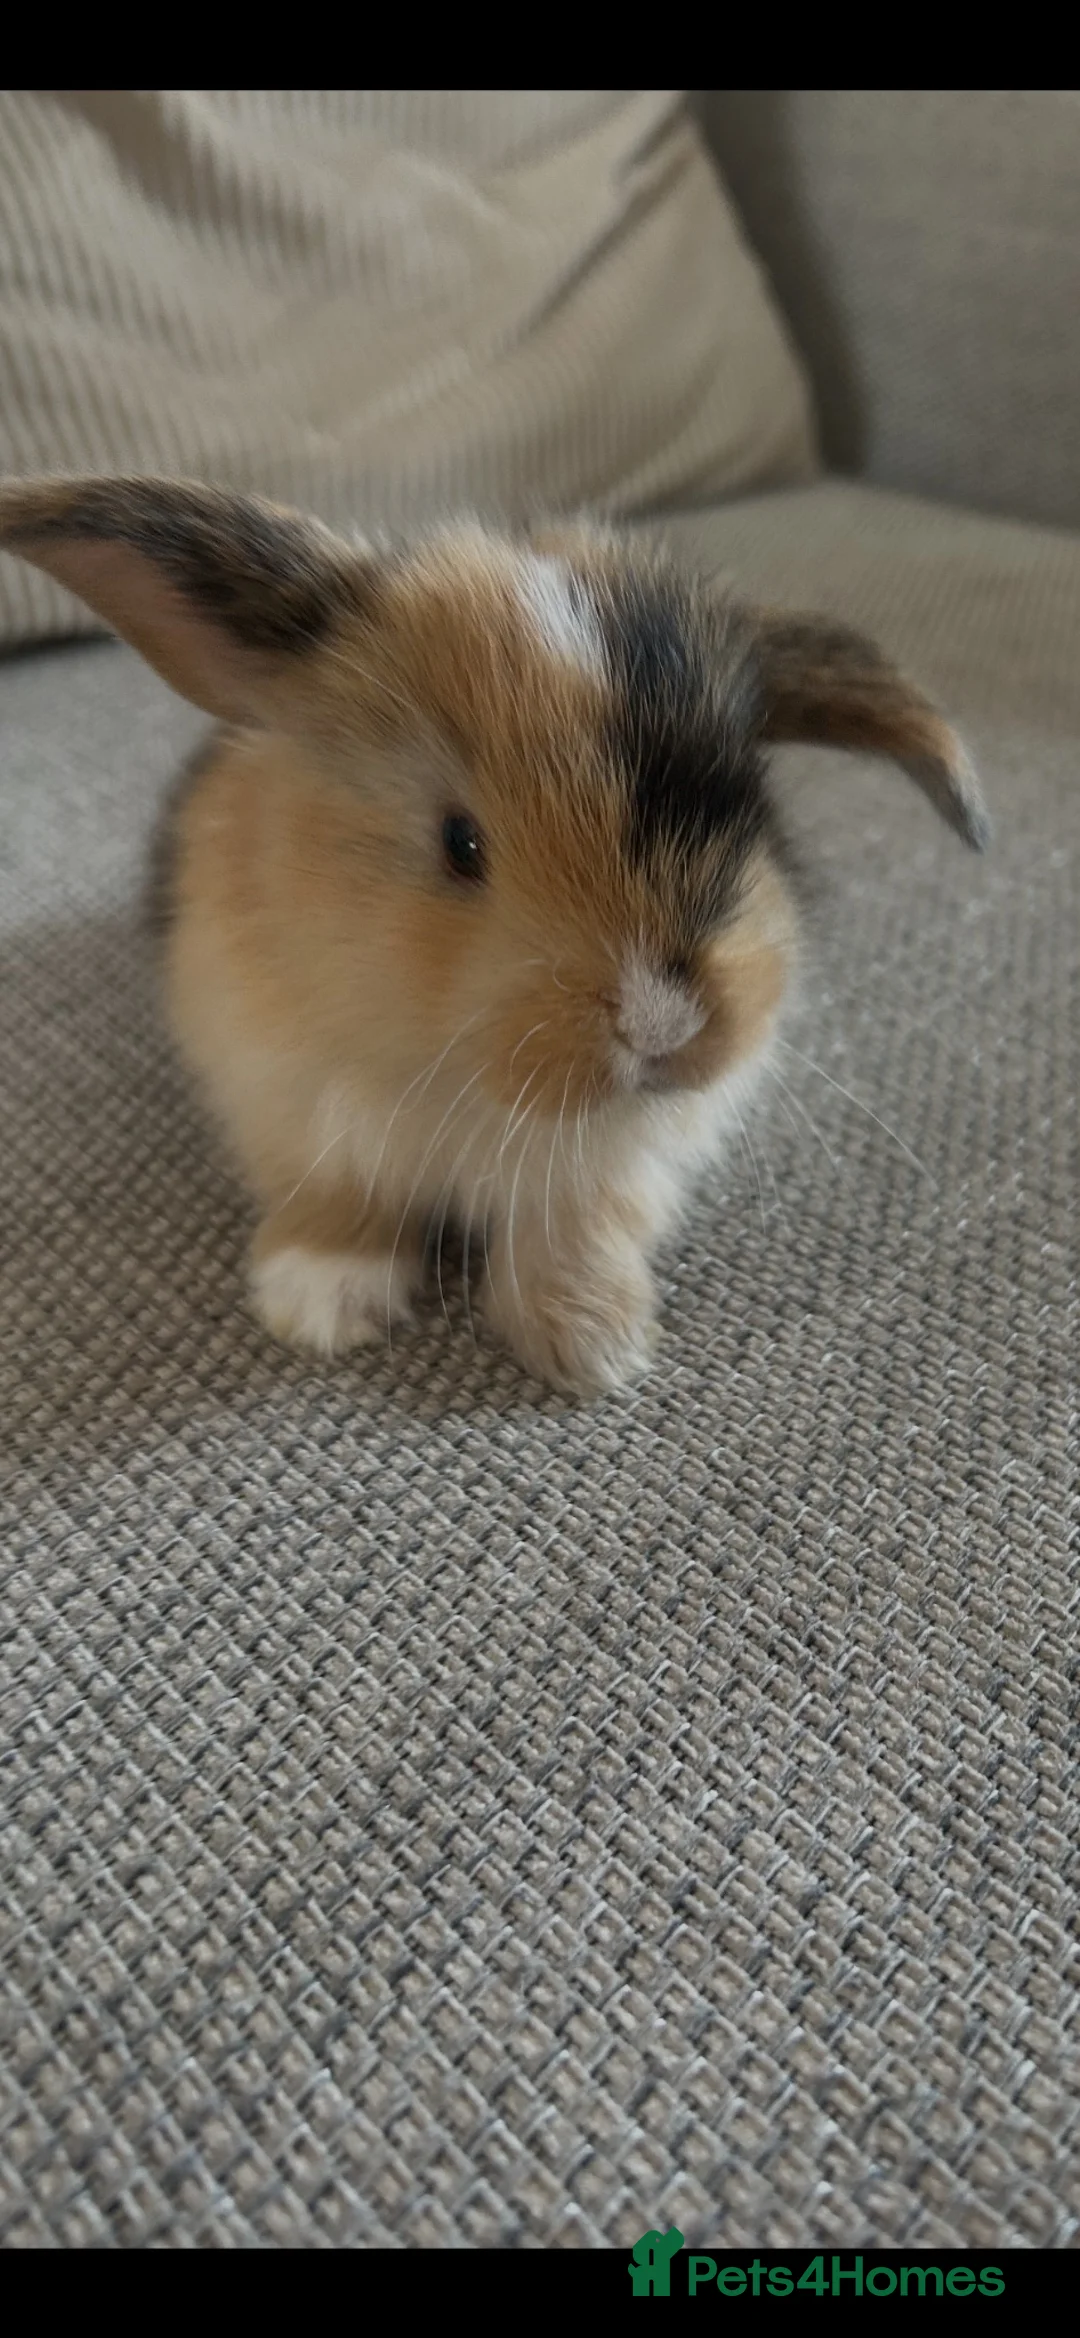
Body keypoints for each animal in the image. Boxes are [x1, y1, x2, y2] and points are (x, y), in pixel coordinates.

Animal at [0, 476, 988, 1396]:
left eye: (749, 806)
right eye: (459, 841)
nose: (663, 1026)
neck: (468, 1085)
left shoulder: (607, 1174)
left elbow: (571, 1234)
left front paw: (594, 1347)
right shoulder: (290, 1107)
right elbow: (336, 1203)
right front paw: (321, 1310)